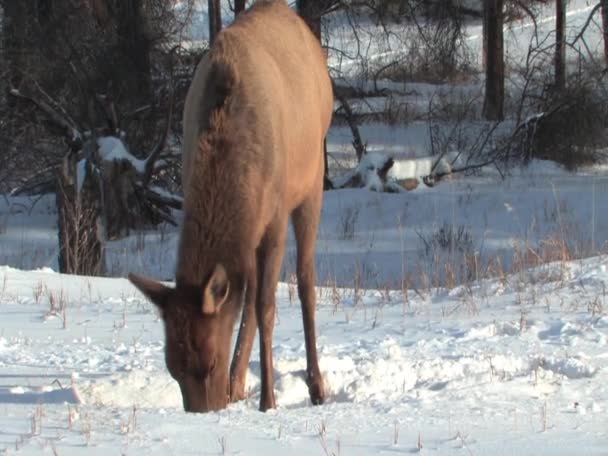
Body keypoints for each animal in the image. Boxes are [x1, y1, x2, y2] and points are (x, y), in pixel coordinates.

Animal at [129, 0, 334, 412]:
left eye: (209, 364)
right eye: (172, 369)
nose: (203, 412)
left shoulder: (273, 217)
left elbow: (267, 306)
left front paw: (268, 401)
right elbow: (248, 300)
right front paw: (238, 387)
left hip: (311, 183)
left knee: (306, 280)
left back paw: (316, 385)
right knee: (249, 292)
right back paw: (240, 383)